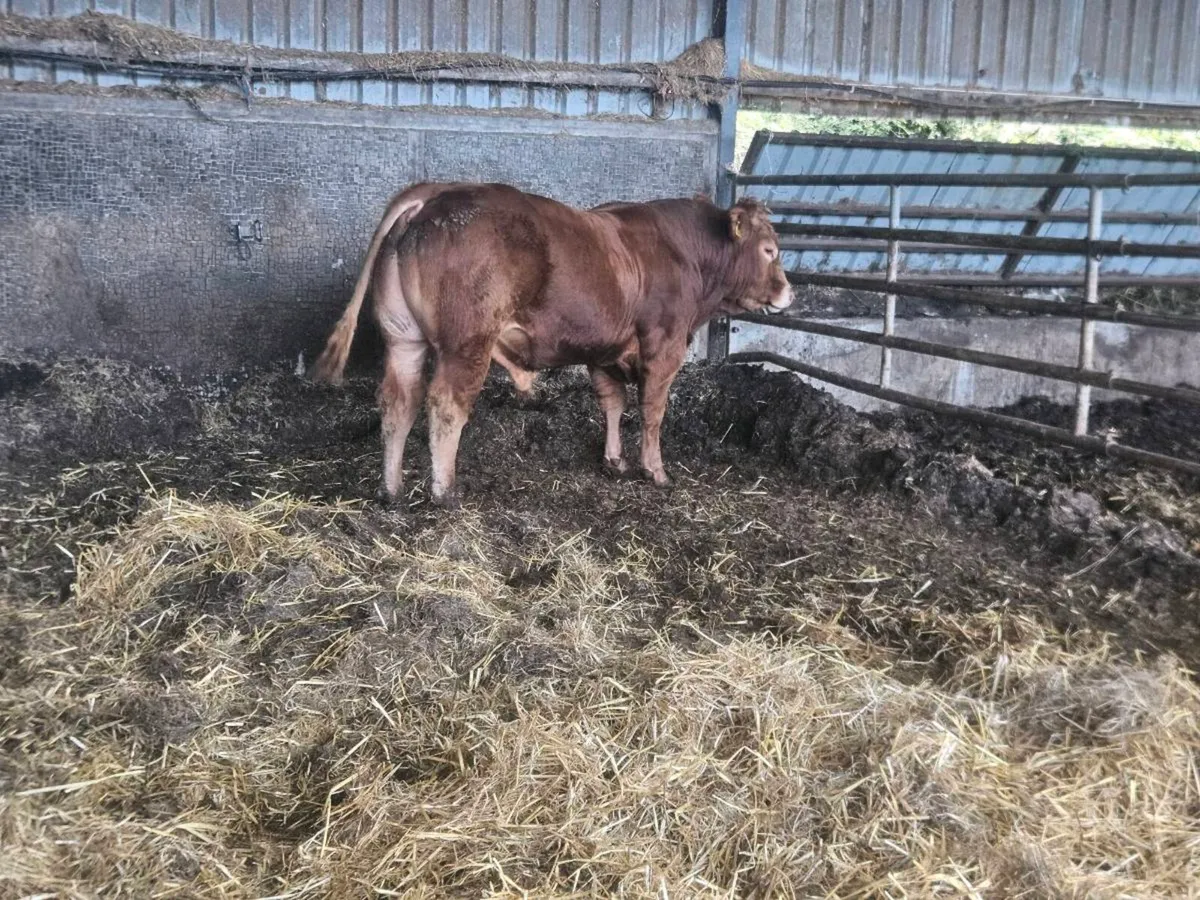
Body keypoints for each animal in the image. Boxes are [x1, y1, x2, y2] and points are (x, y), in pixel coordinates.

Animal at [311, 182, 792, 507]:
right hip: (467, 341)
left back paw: (390, 489)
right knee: (445, 405)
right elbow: (652, 412)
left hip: (403, 338)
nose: (789, 292)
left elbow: (612, 403)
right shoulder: (664, 344)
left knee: (399, 404)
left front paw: (613, 462)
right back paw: (445, 492)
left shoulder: (604, 350)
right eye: (770, 250)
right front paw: (655, 471)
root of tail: (436, 192)